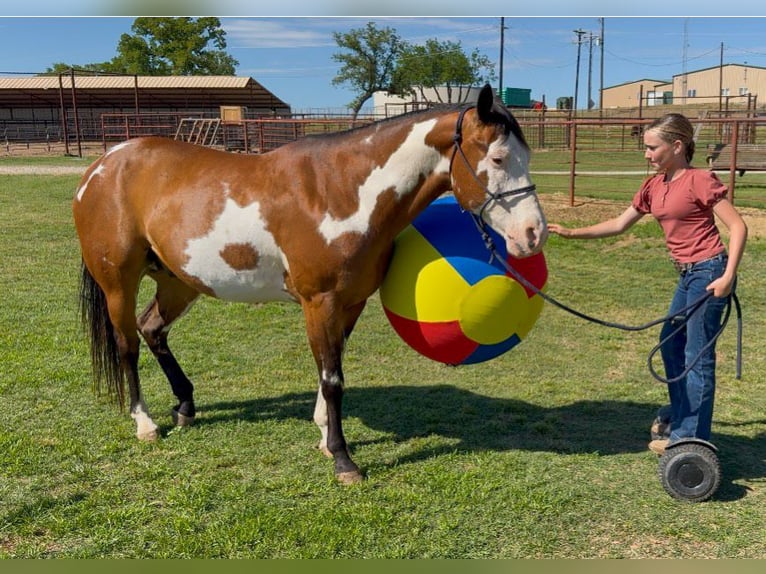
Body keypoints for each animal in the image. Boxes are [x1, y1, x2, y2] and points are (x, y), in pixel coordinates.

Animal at [73, 84, 548, 484]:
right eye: (498, 159)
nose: (533, 235)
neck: (340, 193)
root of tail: (102, 165)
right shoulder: (319, 302)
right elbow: (333, 377)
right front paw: (343, 459)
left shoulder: (350, 303)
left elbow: (329, 371)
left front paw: (323, 436)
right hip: (119, 283)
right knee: (127, 345)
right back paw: (145, 423)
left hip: (178, 282)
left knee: (153, 329)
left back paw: (185, 407)